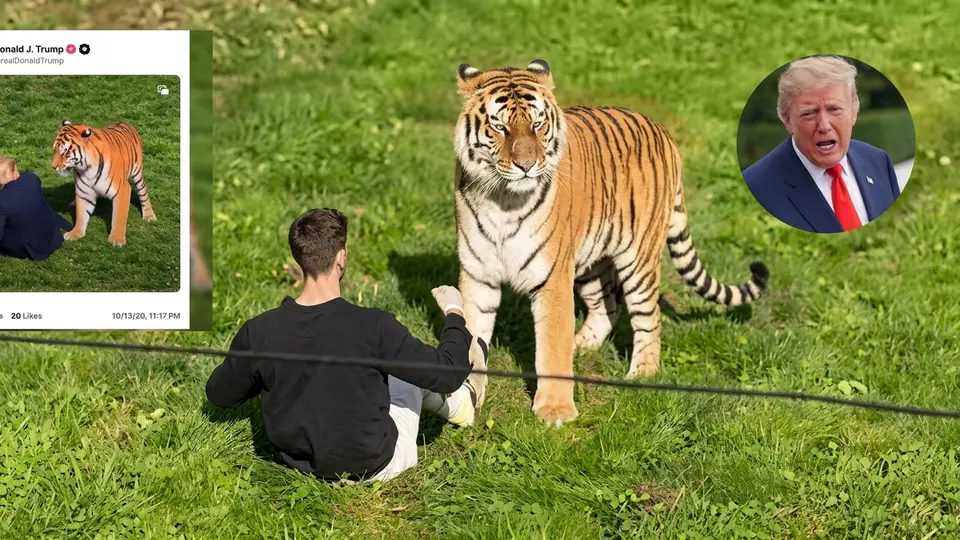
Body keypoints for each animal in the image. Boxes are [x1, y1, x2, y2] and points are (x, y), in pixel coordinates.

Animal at [452, 59, 771, 427]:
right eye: (500, 127)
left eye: (537, 124)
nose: (527, 166)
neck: (503, 199)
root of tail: (664, 133)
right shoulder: (478, 275)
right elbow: (473, 338)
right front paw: (467, 395)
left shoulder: (552, 279)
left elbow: (552, 347)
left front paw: (556, 411)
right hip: (590, 259)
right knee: (608, 306)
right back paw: (581, 345)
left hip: (638, 259)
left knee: (648, 317)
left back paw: (641, 375)